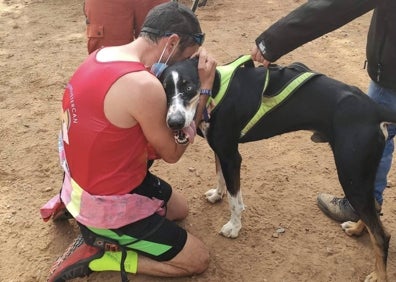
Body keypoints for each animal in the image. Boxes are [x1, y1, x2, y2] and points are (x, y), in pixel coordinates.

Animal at [159, 56, 392, 280]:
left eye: (189, 87)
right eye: (164, 88)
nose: (174, 122)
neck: (216, 89)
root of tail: (375, 110)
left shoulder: (231, 157)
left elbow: (235, 202)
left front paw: (234, 227)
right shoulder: (220, 150)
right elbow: (219, 176)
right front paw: (217, 194)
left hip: (351, 174)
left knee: (382, 234)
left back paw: (379, 275)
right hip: (360, 174)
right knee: (375, 208)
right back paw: (356, 228)